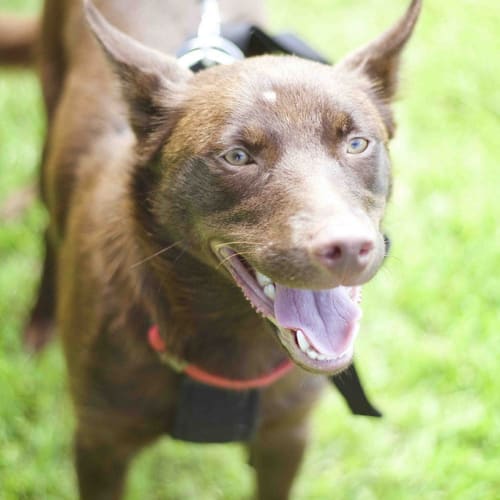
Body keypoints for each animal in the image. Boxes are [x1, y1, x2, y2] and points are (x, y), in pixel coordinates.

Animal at [1, 0, 422, 498]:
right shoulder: (100, 441)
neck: (229, 336)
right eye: (237, 156)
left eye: (357, 143)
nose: (349, 247)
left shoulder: (286, 437)